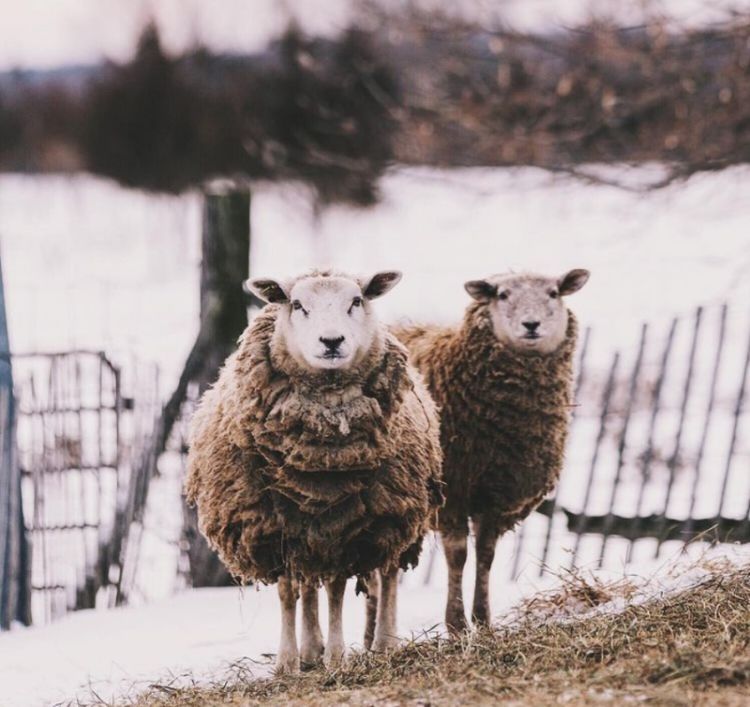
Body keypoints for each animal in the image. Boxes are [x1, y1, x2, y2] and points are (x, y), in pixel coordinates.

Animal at [187, 268, 444, 672]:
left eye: (356, 301)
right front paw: (287, 662)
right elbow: (287, 591)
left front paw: (337, 658)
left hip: (394, 515)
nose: (332, 341)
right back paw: (310, 649)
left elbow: (337, 590)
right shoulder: (275, 528)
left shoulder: (345, 529)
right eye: (296, 304)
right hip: (308, 529)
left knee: (387, 575)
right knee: (308, 584)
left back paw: (383, 643)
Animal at [396, 270, 592, 632]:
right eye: (502, 294)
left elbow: (486, 554)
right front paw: (457, 625)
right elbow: (458, 554)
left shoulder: (498, 495)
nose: (531, 324)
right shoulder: (453, 490)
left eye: (554, 293)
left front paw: (483, 620)